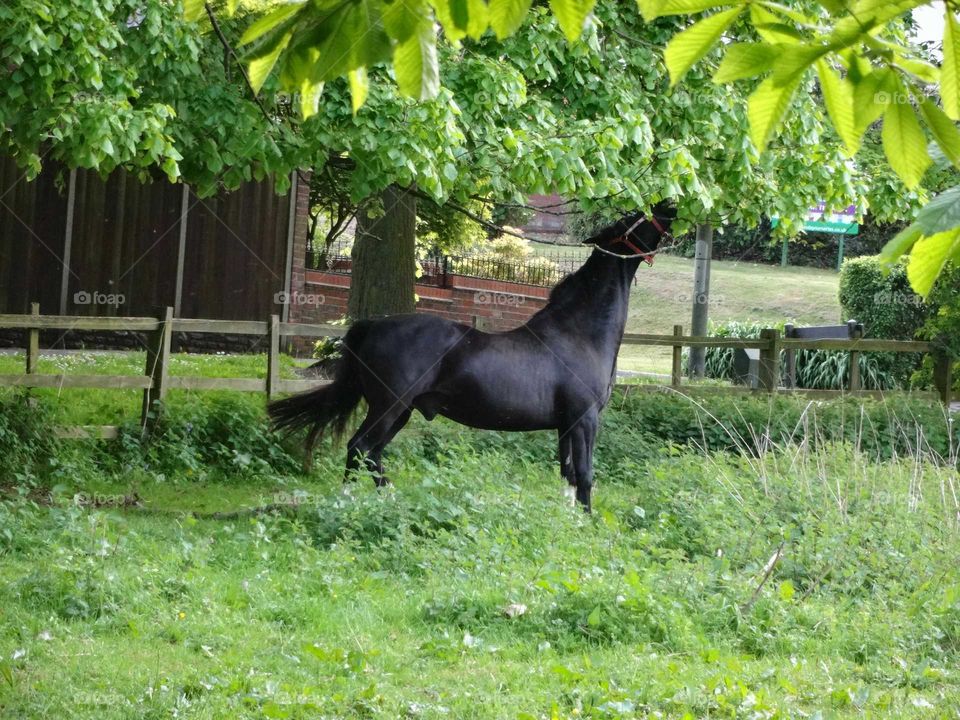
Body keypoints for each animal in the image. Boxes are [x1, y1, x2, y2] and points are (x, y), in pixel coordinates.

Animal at [268, 203, 676, 511]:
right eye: (632, 218)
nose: (668, 206)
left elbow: (569, 475)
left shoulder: (565, 424)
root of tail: (370, 326)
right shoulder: (585, 419)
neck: (580, 333)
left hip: (401, 411)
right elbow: (587, 476)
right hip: (388, 406)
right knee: (359, 449)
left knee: (371, 454)